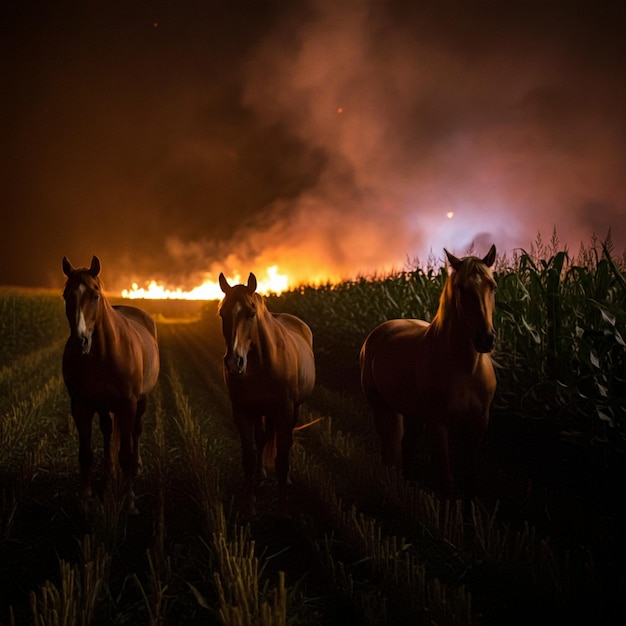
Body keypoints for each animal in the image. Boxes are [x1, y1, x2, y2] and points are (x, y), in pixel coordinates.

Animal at [61, 256, 160, 510]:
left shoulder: (128, 405)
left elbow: (125, 453)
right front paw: (85, 497)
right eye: (66, 295)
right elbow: (85, 453)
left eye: (95, 295)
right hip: (104, 406)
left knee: (135, 432)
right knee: (107, 431)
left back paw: (135, 466)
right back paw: (108, 473)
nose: (80, 342)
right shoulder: (80, 405)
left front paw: (129, 500)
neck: (103, 354)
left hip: (142, 402)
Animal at [218, 270, 314, 516]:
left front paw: (282, 508)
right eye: (222, 313)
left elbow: (282, 459)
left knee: (285, 442)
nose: (233, 363)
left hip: (294, 409)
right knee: (262, 439)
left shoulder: (285, 410)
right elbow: (249, 458)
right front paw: (250, 505)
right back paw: (261, 476)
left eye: (252, 314)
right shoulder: (242, 411)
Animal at [358, 246, 494, 494]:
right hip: (381, 407)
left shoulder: (479, 421)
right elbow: (447, 479)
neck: (465, 368)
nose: (485, 339)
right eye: (461, 288)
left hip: (413, 413)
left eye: (492, 286)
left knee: (406, 446)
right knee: (389, 448)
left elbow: (470, 476)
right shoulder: (438, 422)